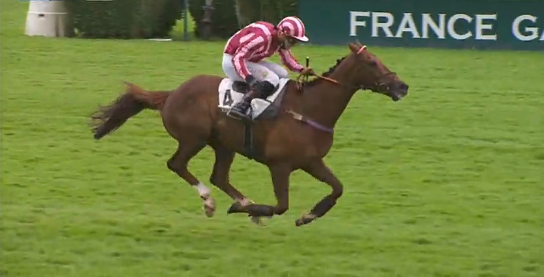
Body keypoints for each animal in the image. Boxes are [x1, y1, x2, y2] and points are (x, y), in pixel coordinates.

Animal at [91, 41, 410, 226]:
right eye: (372, 62)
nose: (402, 86)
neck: (311, 108)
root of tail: (170, 94)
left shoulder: (311, 161)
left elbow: (337, 188)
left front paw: (308, 215)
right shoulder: (280, 165)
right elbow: (281, 206)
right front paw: (253, 212)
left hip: (224, 145)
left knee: (218, 176)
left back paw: (242, 201)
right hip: (194, 138)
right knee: (177, 164)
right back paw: (211, 203)